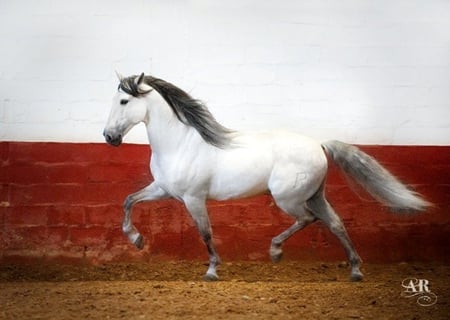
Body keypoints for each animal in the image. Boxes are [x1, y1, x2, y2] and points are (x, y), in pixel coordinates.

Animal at [103, 73, 430, 282]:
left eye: (123, 102)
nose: (109, 137)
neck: (179, 143)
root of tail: (319, 145)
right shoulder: (163, 189)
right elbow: (129, 200)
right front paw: (136, 240)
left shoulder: (193, 198)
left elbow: (205, 232)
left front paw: (212, 271)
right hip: (315, 195)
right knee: (336, 223)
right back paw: (355, 271)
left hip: (289, 199)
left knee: (308, 219)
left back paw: (275, 251)